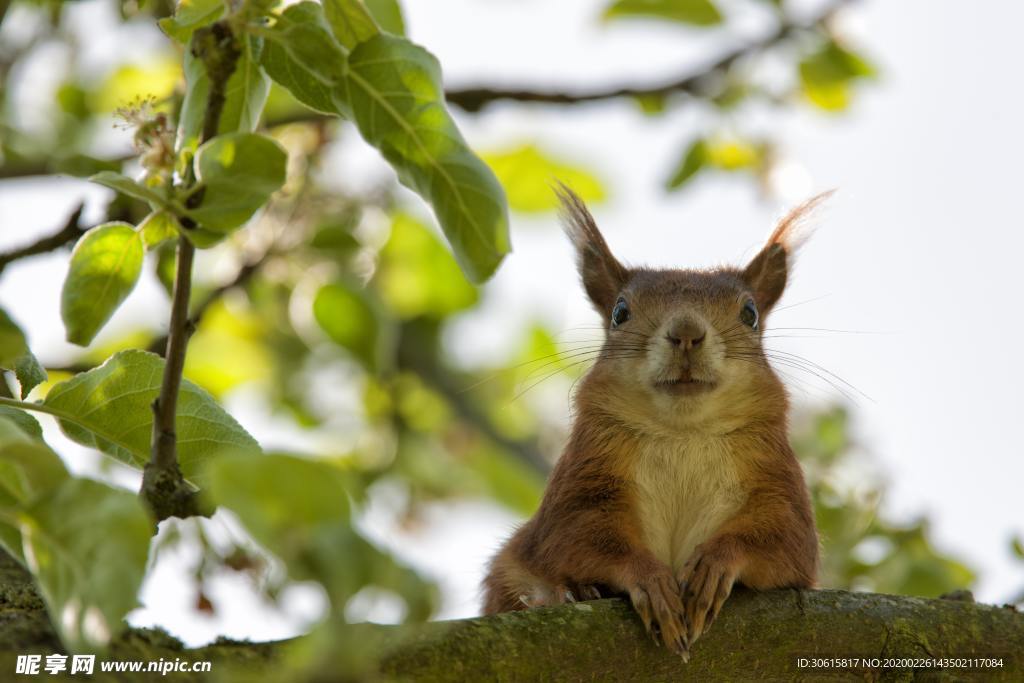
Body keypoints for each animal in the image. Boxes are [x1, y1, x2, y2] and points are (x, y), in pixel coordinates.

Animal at [479, 188, 823, 663]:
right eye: (620, 312)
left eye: (751, 313)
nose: (686, 333)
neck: (683, 433)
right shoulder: (581, 483)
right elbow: (574, 538)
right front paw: (651, 581)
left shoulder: (778, 485)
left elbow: (787, 544)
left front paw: (715, 564)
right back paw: (577, 592)